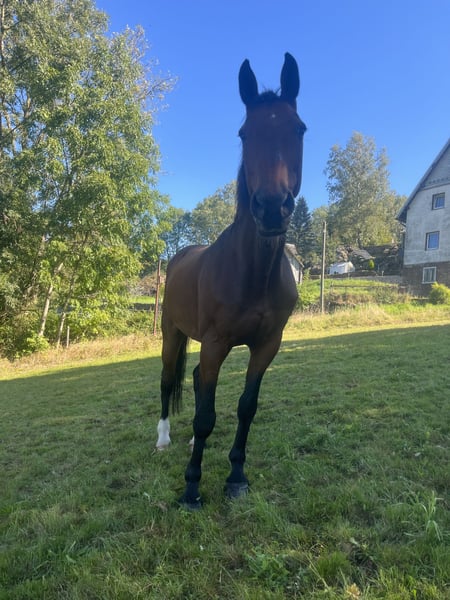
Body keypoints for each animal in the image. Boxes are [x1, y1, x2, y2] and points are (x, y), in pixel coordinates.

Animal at [156, 53, 306, 509]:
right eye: (244, 132)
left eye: (299, 128)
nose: (272, 208)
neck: (251, 273)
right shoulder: (216, 343)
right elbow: (205, 415)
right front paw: (191, 488)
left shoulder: (266, 345)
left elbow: (245, 407)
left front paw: (236, 477)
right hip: (172, 334)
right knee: (168, 380)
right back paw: (164, 439)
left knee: (192, 381)